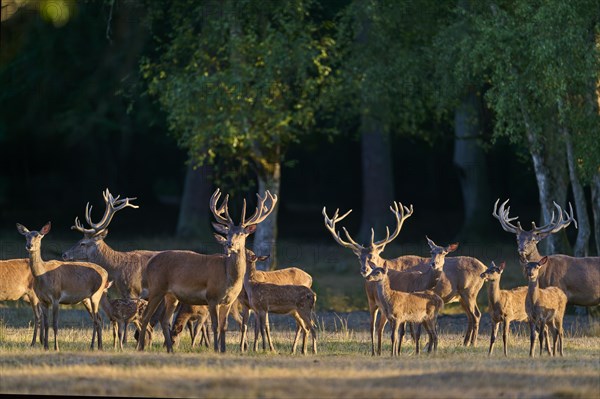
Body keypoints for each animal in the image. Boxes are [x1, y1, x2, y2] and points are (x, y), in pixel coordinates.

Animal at [15, 223, 108, 352]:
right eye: (26, 236)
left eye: (38, 235)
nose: (29, 245)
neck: (42, 276)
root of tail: (106, 273)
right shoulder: (43, 300)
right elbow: (46, 323)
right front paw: (46, 347)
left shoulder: (56, 297)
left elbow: (55, 323)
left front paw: (56, 347)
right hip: (86, 299)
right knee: (97, 319)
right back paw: (97, 346)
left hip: (96, 294)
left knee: (97, 319)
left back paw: (96, 346)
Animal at [137, 188, 278, 354]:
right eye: (227, 233)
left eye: (242, 233)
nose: (229, 244)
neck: (228, 277)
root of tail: (150, 262)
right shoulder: (212, 297)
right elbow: (215, 326)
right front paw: (216, 349)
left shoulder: (228, 301)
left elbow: (224, 326)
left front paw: (223, 350)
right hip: (156, 288)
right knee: (146, 316)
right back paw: (141, 347)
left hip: (171, 295)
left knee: (164, 320)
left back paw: (170, 349)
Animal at [324, 203, 488, 356]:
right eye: (359, 257)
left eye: (372, 256)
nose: (365, 270)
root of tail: (484, 266)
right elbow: (389, 328)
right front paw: (395, 350)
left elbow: (403, 329)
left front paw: (404, 350)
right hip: (461, 296)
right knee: (470, 316)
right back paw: (465, 343)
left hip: (469, 292)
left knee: (476, 315)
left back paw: (472, 344)